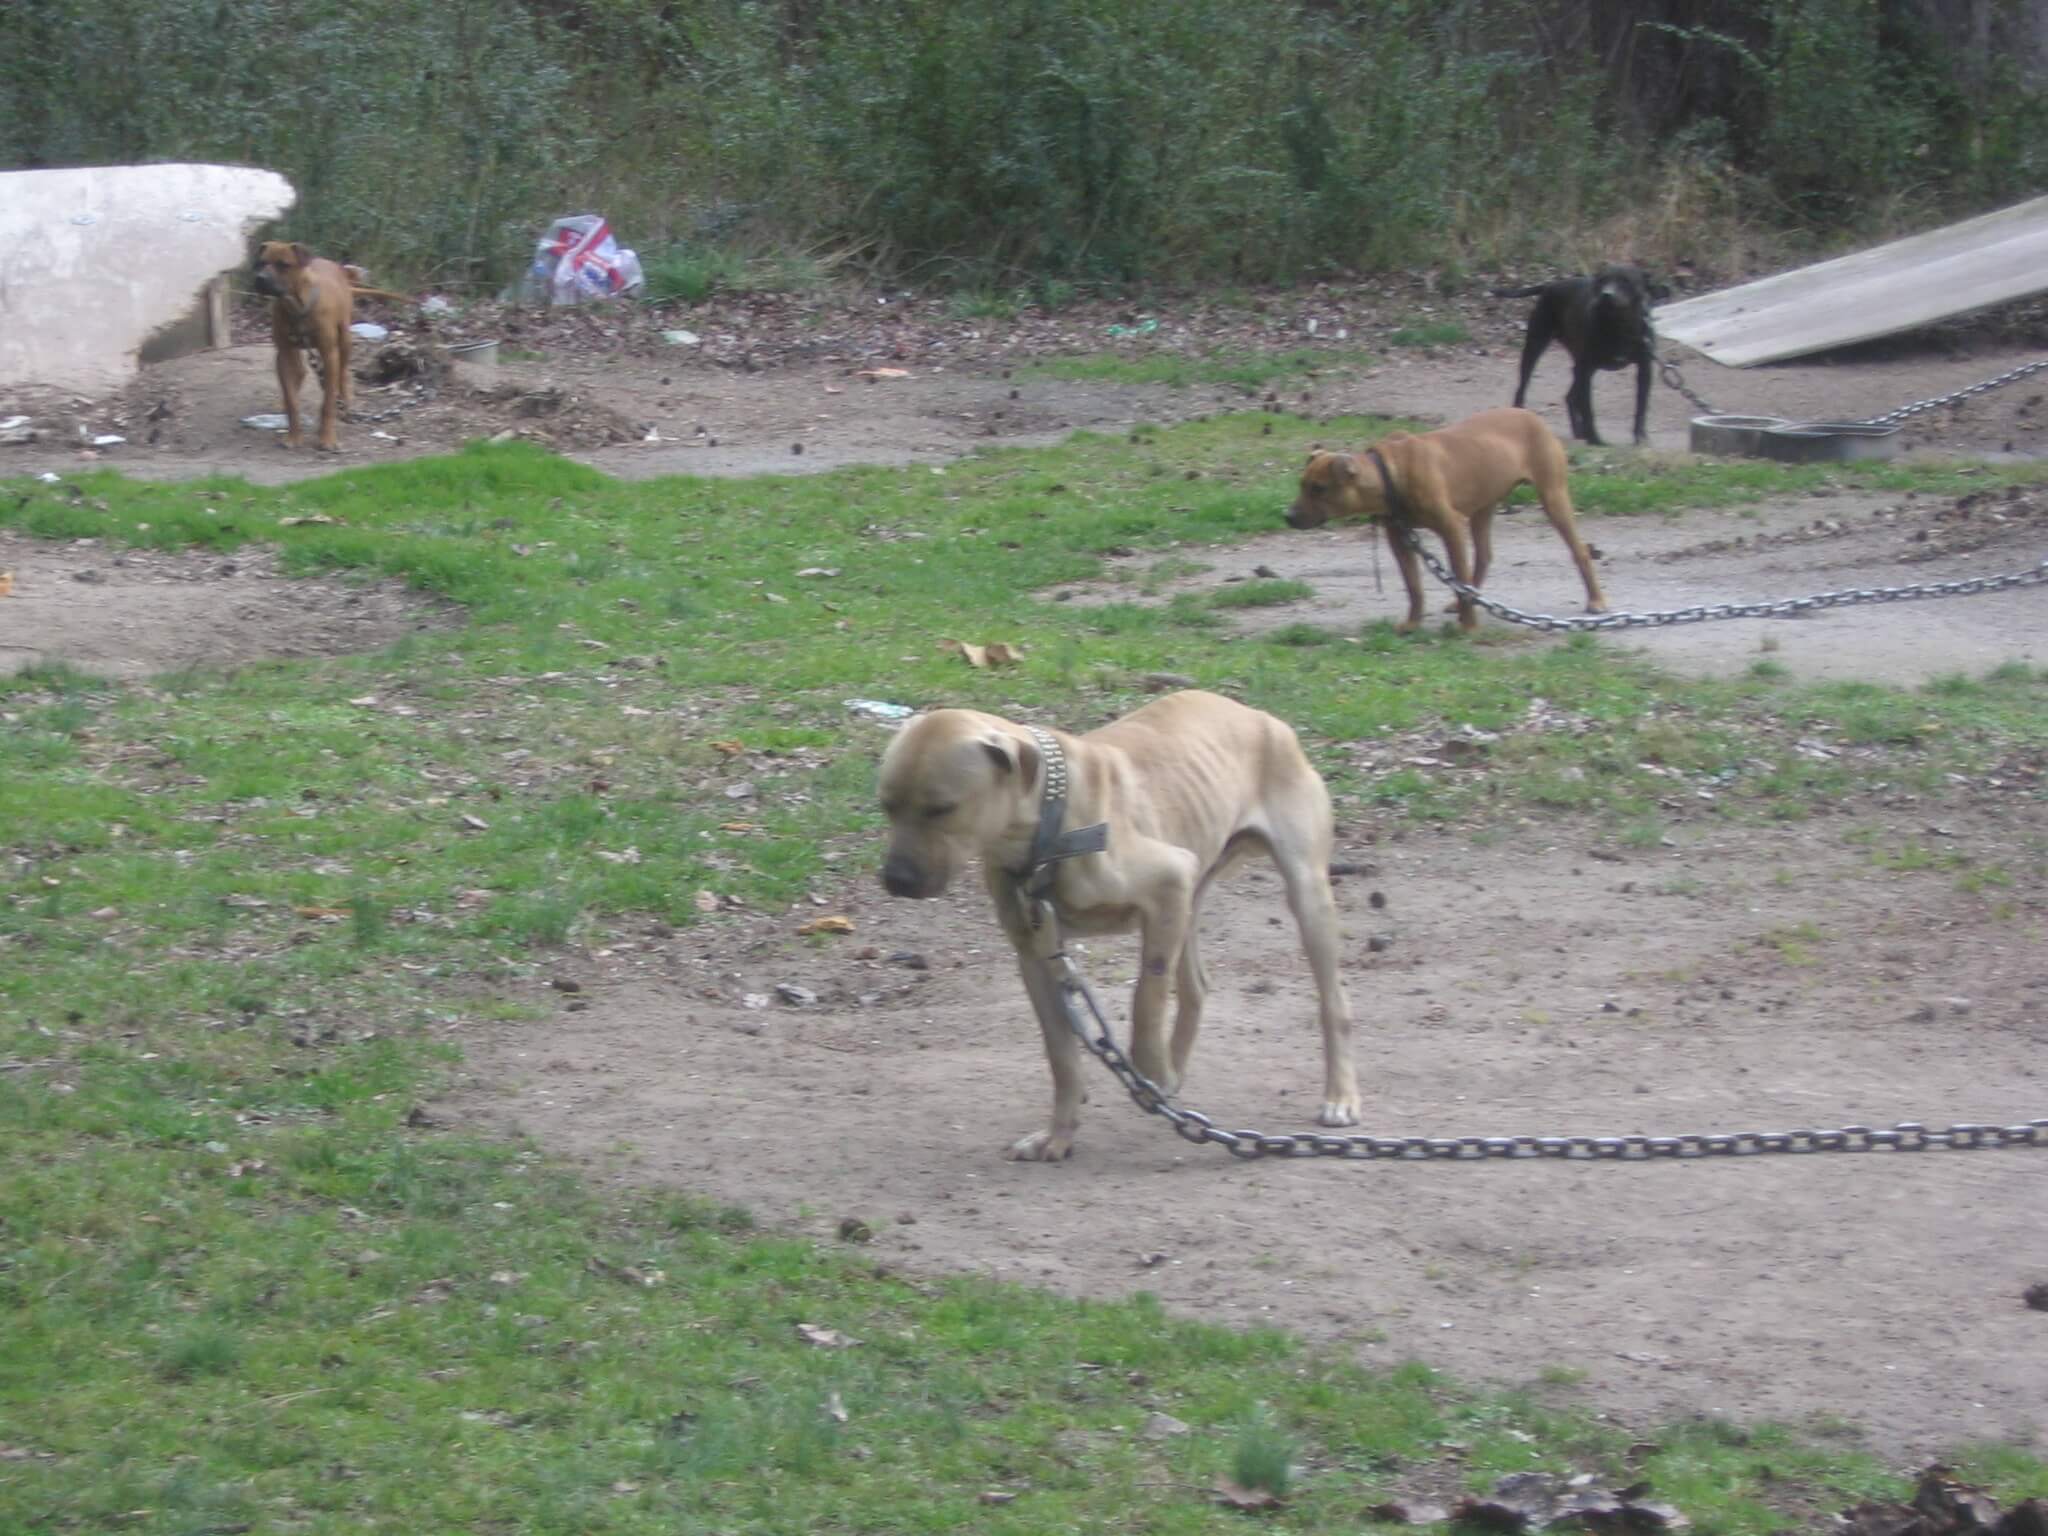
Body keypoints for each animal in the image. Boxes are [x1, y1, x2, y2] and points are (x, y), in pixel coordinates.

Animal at [249, 237, 405, 448]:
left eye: (283, 265)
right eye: (261, 263)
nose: (260, 279)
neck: (297, 306)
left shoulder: (329, 354)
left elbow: (328, 403)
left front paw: (327, 439)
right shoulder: (284, 352)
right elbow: (292, 402)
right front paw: (293, 436)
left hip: (345, 340)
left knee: (343, 374)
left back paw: (345, 402)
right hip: (295, 353)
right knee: (299, 373)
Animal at [872, 692, 1351, 1163]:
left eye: (941, 809)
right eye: (887, 806)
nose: (895, 880)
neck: (1049, 820)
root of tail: (1263, 718)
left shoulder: (1167, 884)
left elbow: (1146, 1000)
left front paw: (1151, 1071)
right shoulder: (1036, 954)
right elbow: (1062, 1055)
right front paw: (1059, 1134)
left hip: (1303, 895)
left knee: (1334, 1005)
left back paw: (1340, 1098)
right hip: (1190, 897)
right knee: (1196, 986)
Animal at [1286, 405, 1605, 634]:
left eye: (1319, 488)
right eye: (1301, 484)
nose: (1286, 516)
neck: (1388, 473)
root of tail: (1532, 415)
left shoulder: (1451, 527)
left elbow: (1457, 575)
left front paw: (1469, 627)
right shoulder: (1399, 538)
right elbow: (1414, 586)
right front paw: (1413, 623)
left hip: (1553, 496)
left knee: (1579, 551)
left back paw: (1596, 601)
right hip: (1483, 507)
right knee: (1484, 556)